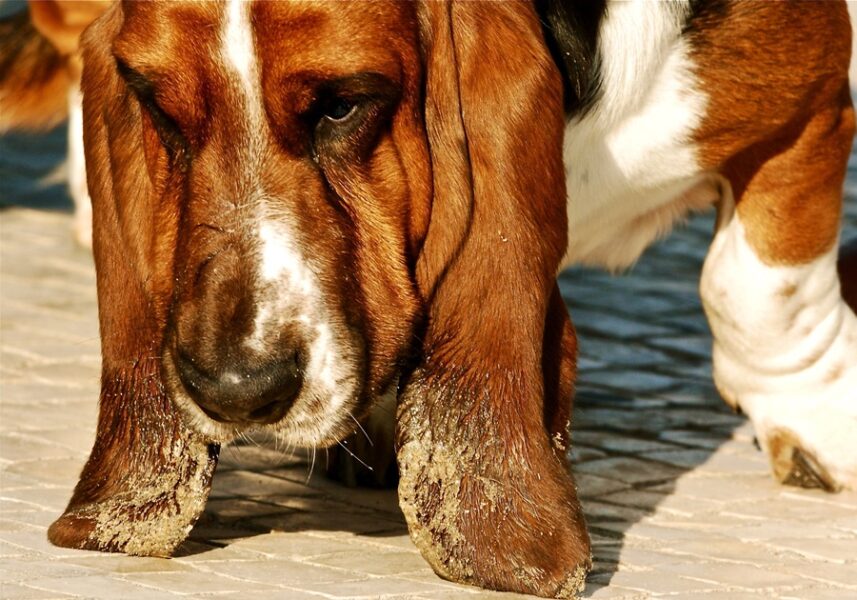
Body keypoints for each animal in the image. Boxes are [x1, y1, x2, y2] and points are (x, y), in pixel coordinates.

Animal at [30, 1, 852, 600]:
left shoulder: (811, 106)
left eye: (342, 107)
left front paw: (817, 423)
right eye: (160, 110)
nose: (236, 390)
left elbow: (755, 285)